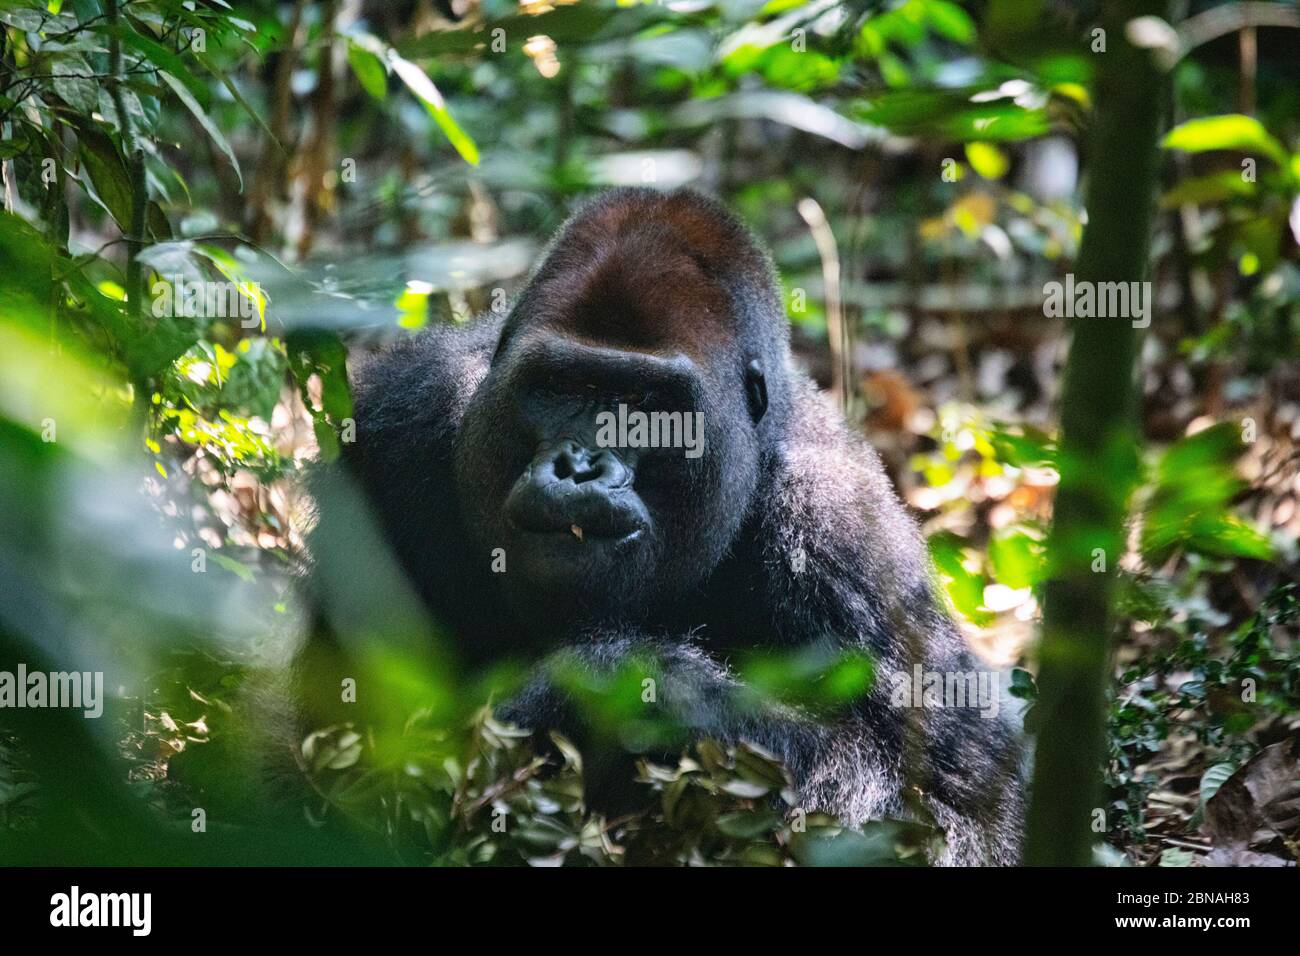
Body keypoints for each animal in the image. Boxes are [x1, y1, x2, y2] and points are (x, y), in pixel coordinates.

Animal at [304, 187, 1024, 868]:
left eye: (647, 406)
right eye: (561, 386)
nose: (579, 466)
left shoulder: (846, 535)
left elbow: (953, 808)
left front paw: (626, 691)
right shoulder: (400, 418)